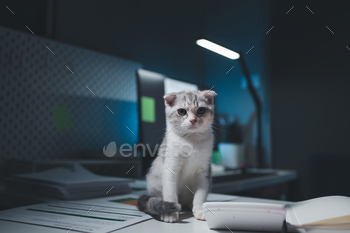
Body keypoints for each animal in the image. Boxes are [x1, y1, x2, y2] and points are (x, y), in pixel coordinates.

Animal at [137, 89, 216, 222]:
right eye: (181, 111)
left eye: (201, 110)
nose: (193, 120)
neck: (190, 141)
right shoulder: (170, 168)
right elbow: (170, 193)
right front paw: (170, 213)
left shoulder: (204, 171)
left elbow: (200, 194)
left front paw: (200, 209)